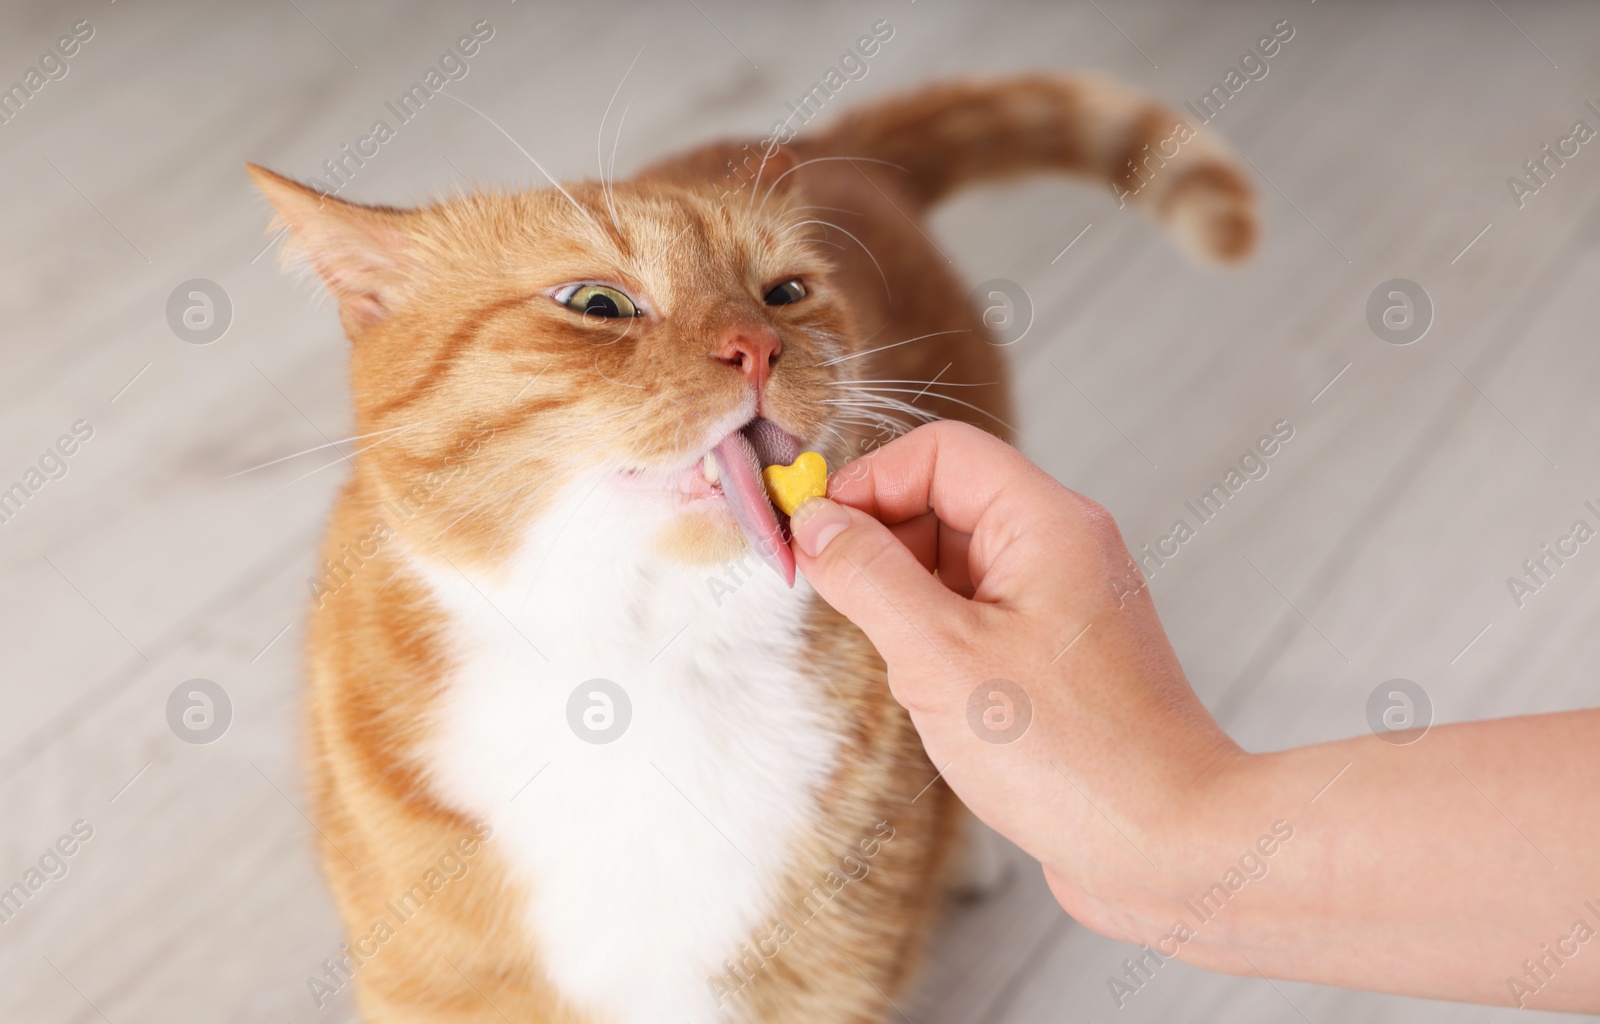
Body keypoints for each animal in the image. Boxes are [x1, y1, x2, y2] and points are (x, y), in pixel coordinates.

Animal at [246, 74, 1248, 1024]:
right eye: (597, 304)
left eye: (786, 294)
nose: (758, 347)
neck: (636, 664)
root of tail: (814, 141)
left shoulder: (831, 983)